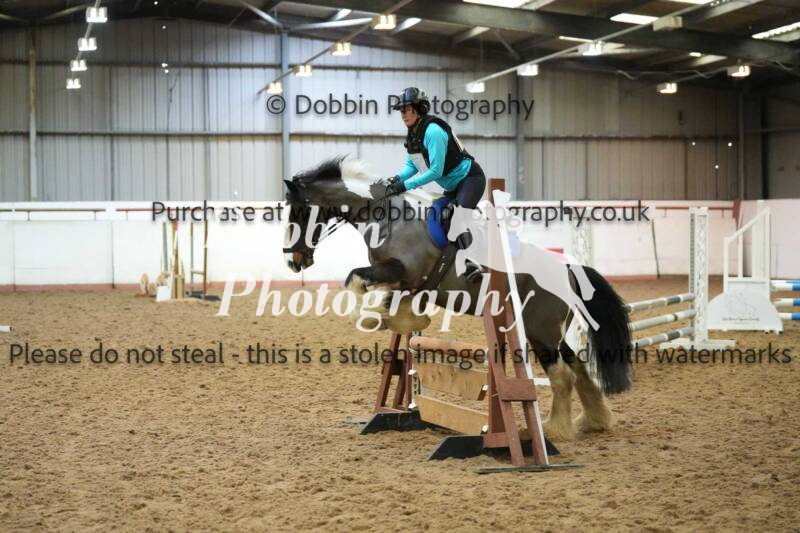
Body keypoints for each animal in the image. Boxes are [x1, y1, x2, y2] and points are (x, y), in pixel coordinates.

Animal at [282, 156, 632, 441]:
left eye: (300, 211)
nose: (292, 261)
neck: (388, 219)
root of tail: (569, 268)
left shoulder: (400, 270)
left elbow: (355, 279)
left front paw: (371, 318)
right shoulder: (406, 280)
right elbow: (392, 302)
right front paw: (405, 318)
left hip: (539, 330)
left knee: (562, 376)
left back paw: (555, 430)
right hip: (552, 332)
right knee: (579, 368)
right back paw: (593, 421)